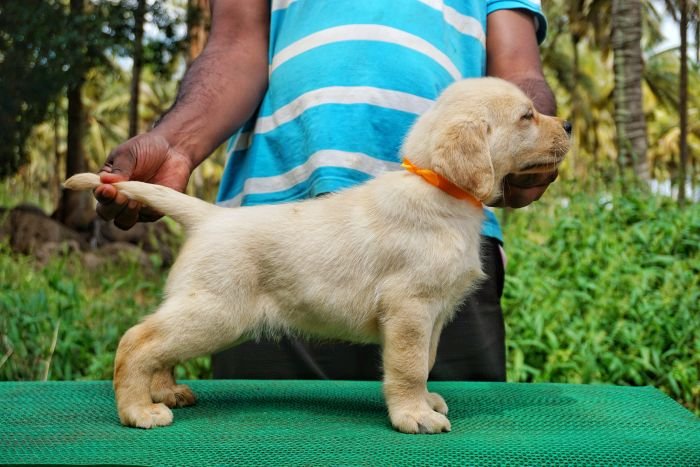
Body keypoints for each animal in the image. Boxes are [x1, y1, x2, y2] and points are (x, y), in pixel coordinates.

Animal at [64, 77, 568, 436]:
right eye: (526, 116)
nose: (568, 126)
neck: (439, 187)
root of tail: (209, 217)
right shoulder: (410, 307)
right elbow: (408, 367)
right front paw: (413, 414)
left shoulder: (434, 315)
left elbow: (424, 363)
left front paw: (425, 402)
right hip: (216, 312)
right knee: (138, 341)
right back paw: (138, 410)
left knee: (158, 346)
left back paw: (165, 392)